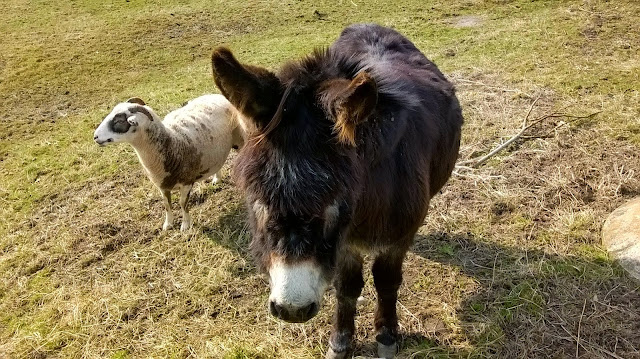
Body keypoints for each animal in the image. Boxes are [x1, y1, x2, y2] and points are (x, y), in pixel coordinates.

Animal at [93, 94, 245, 232]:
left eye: (119, 120)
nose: (95, 136)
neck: (172, 142)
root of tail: (216, 95)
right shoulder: (162, 185)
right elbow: (167, 204)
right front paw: (168, 224)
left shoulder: (186, 182)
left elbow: (183, 204)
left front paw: (185, 225)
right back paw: (216, 179)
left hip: (240, 141)